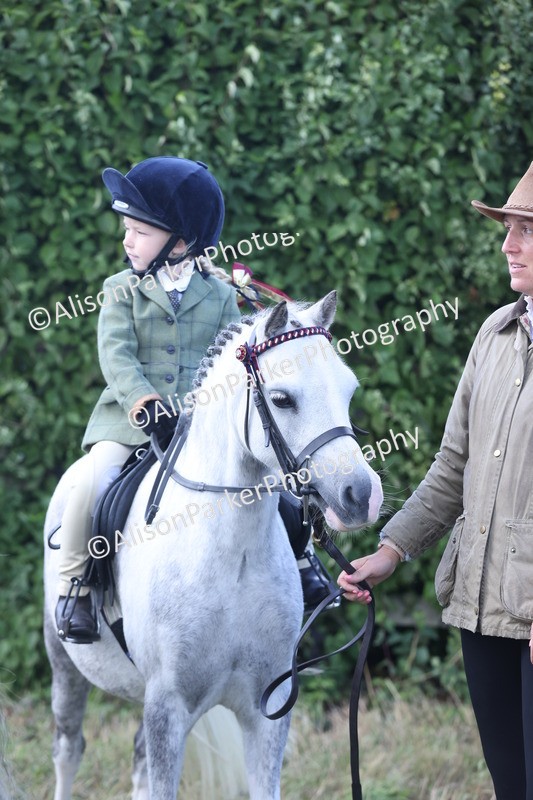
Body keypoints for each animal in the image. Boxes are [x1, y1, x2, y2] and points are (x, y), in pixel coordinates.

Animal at [43, 291, 383, 800]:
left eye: (349, 391)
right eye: (282, 399)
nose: (361, 496)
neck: (231, 557)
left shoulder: (269, 706)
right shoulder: (167, 707)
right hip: (64, 663)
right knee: (69, 749)